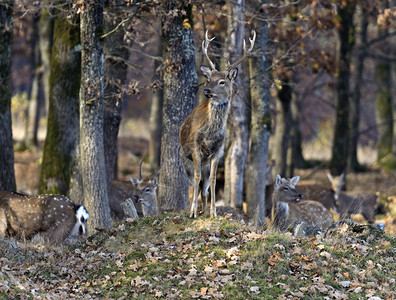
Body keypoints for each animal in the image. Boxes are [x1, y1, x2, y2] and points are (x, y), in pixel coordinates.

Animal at [179, 29, 256, 218]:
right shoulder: (195, 147)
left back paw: (205, 209)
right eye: (208, 80)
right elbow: (197, 178)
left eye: (222, 81)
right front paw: (193, 212)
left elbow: (213, 180)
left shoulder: (218, 152)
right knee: (194, 182)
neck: (210, 134)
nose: (207, 90)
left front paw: (213, 212)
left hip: (206, 162)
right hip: (185, 158)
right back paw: (193, 209)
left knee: (204, 187)